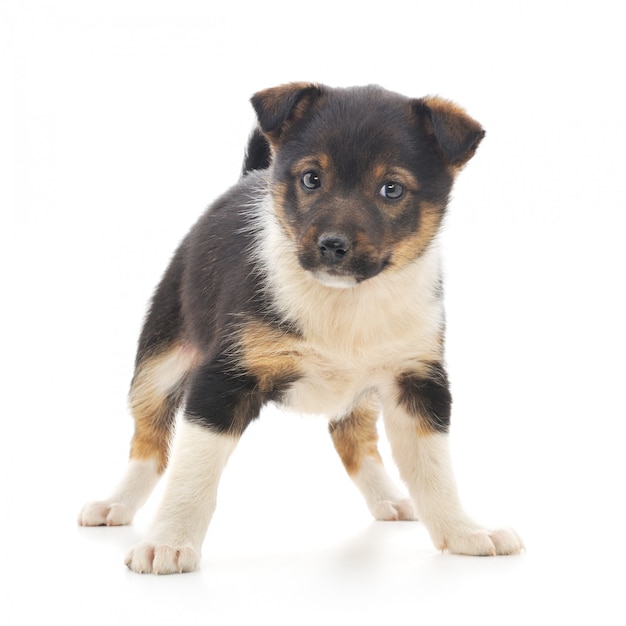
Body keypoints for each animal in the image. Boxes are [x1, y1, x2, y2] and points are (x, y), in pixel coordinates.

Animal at [78, 84, 520, 576]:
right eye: (312, 179)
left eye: (391, 189)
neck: (345, 301)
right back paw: (115, 506)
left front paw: (465, 533)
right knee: (149, 441)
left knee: (351, 436)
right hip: (159, 362)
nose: (332, 246)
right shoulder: (222, 379)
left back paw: (387, 498)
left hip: (361, 391)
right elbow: (194, 472)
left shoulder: (418, 379)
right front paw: (169, 542)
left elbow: (435, 472)